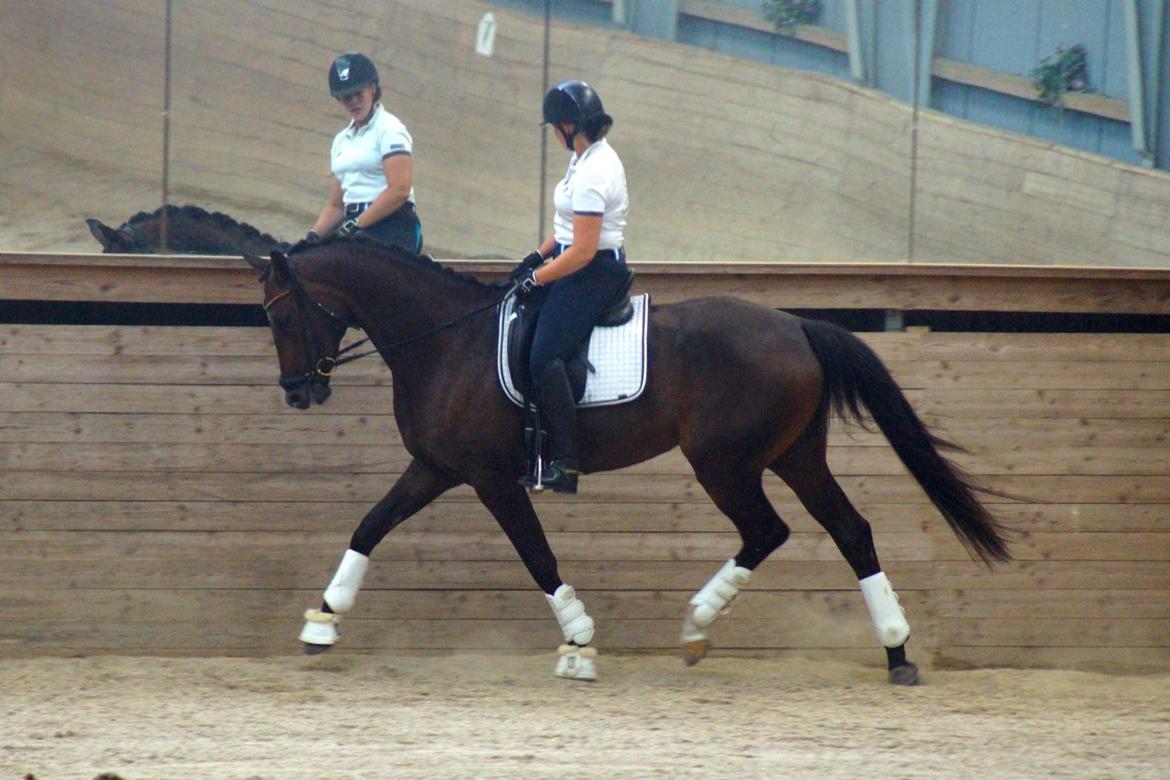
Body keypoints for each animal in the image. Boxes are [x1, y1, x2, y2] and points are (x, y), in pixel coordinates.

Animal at [244, 238, 1006, 682]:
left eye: (280, 316)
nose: (299, 391)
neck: (446, 342)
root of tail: (797, 326)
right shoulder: (436, 468)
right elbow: (369, 526)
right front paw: (322, 622)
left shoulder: (488, 478)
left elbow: (537, 555)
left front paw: (579, 643)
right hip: (795, 455)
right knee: (850, 531)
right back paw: (896, 651)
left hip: (723, 461)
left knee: (767, 531)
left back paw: (698, 626)